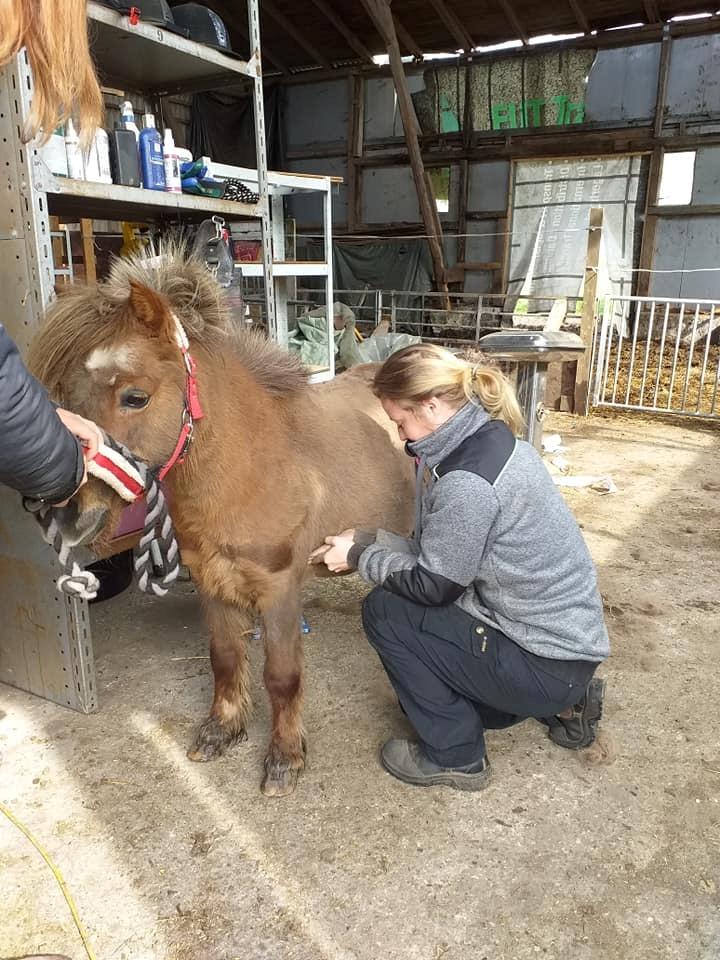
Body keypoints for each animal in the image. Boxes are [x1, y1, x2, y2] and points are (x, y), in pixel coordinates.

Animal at [28, 248, 414, 796]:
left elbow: (281, 676)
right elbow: (225, 659)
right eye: (66, 396)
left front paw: (284, 759)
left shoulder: (278, 590)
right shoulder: (212, 583)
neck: (256, 465)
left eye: (135, 397)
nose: (64, 514)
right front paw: (221, 731)